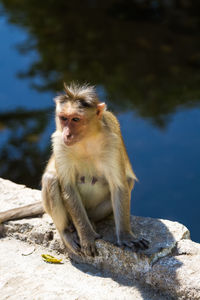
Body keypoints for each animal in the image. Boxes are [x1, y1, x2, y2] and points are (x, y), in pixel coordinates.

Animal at [0, 83, 148, 256]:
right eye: (63, 118)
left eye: (75, 119)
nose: (67, 134)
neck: (87, 139)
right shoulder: (59, 142)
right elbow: (68, 187)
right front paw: (87, 235)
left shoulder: (113, 142)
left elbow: (119, 186)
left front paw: (125, 236)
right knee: (51, 179)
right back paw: (67, 232)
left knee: (128, 181)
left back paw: (91, 221)